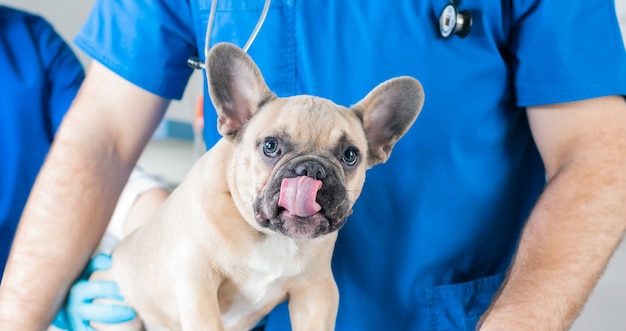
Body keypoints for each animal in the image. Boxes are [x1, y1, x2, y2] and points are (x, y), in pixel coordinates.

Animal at [92, 42, 424, 331]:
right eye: (270, 146)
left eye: (350, 155)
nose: (311, 169)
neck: (272, 237)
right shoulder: (197, 279)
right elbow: (206, 321)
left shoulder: (316, 292)